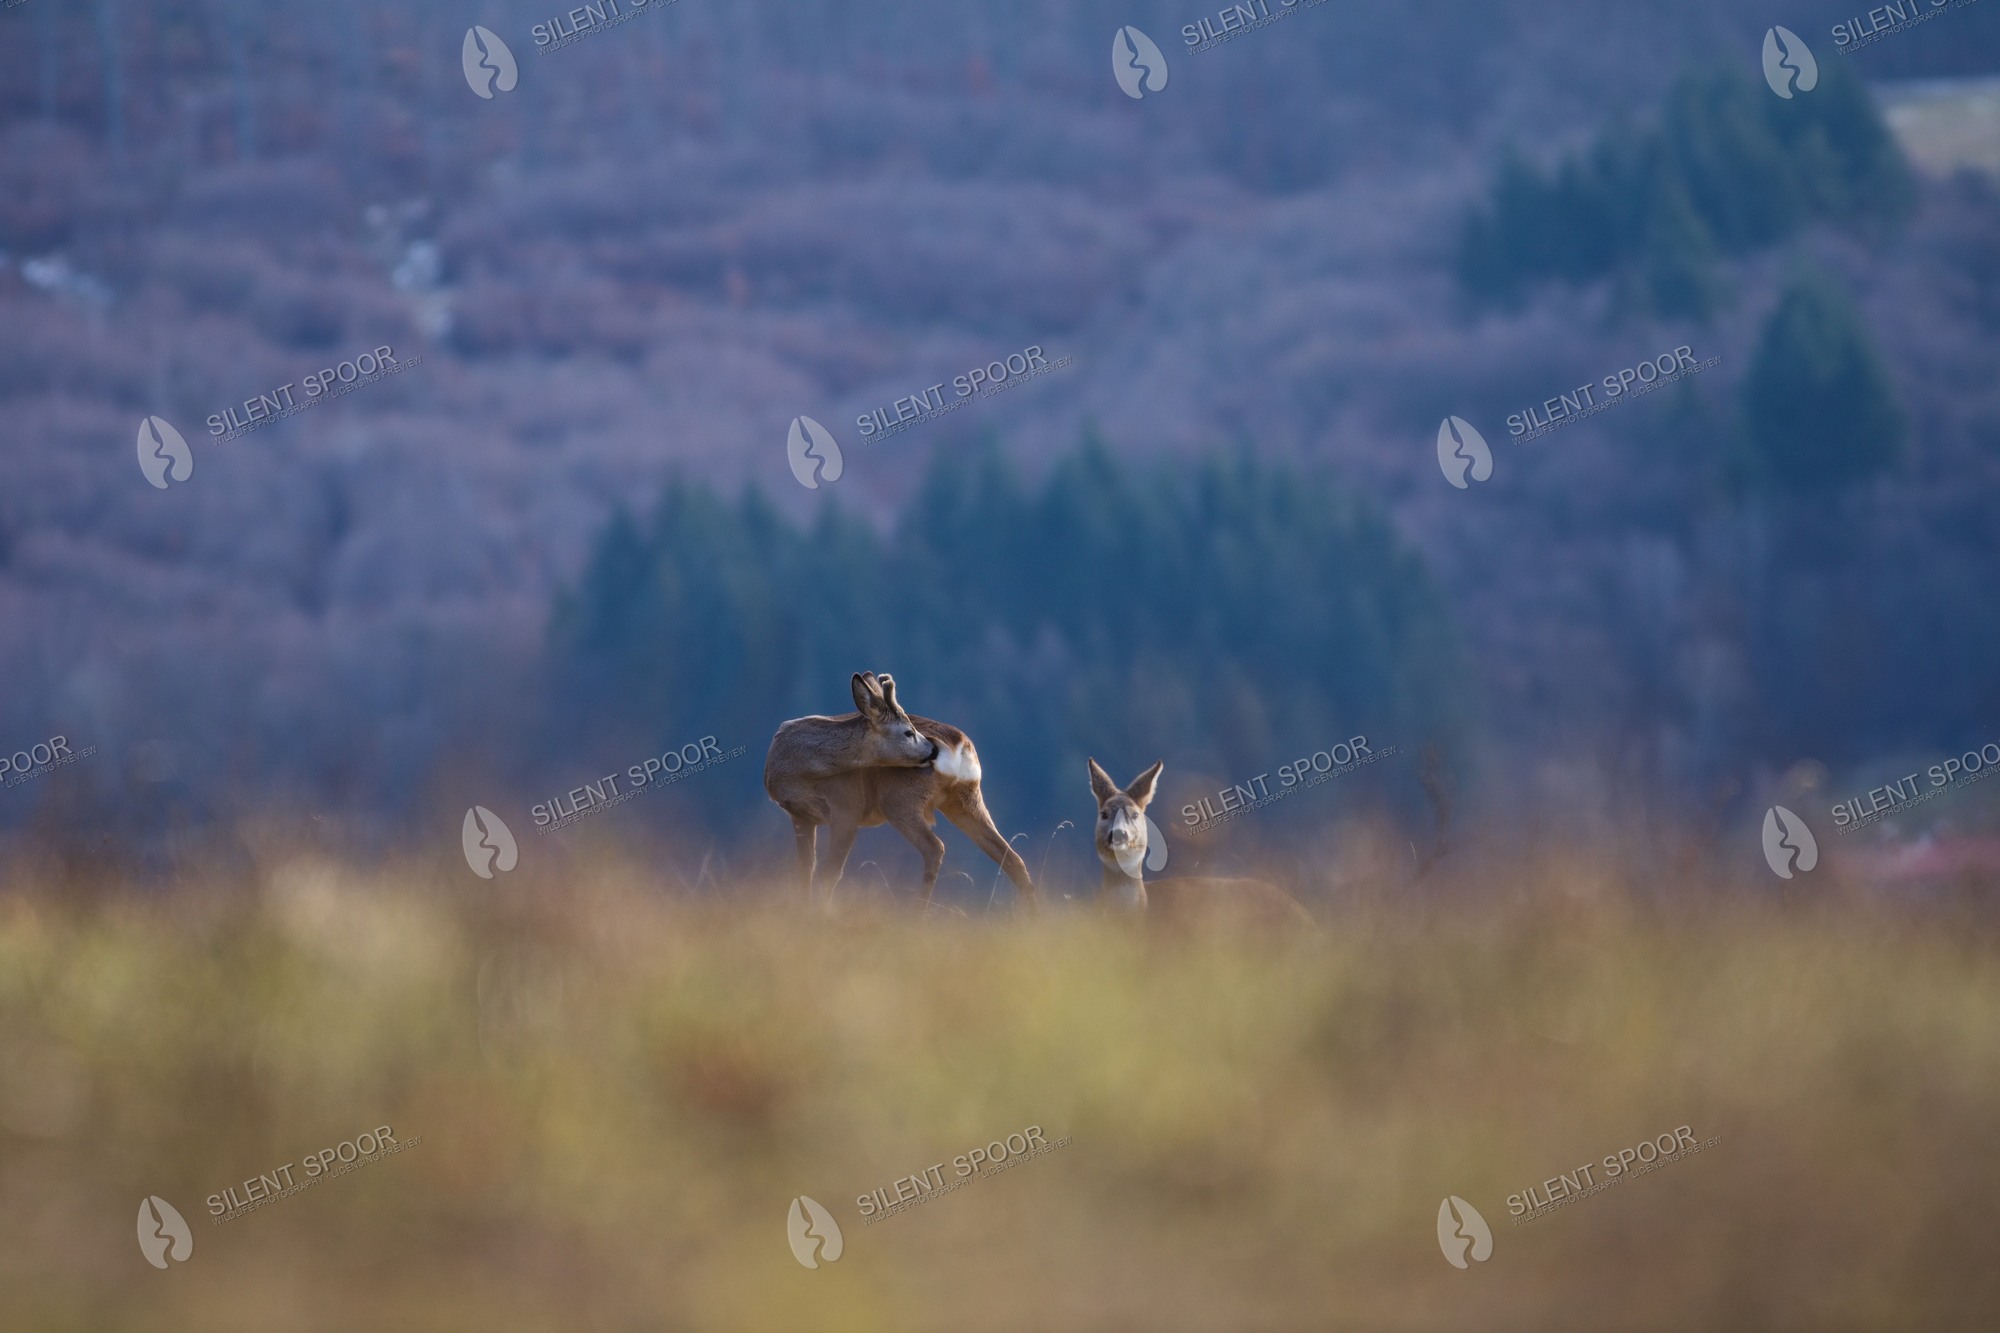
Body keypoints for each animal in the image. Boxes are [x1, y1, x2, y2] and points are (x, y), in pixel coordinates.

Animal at [765, 672, 1036, 910]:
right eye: (908, 732)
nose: (932, 750)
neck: (796, 767)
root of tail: (960, 744)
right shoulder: (800, 816)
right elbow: (805, 870)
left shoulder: (847, 810)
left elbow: (829, 873)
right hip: (965, 799)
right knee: (1012, 858)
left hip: (898, 800)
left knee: (935, 847)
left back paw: (917, 914)